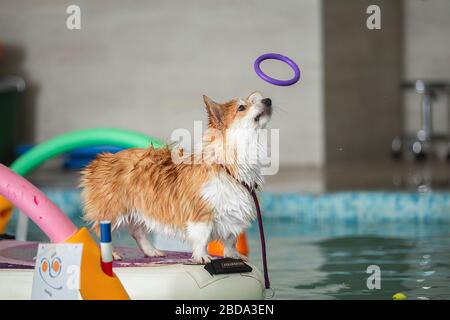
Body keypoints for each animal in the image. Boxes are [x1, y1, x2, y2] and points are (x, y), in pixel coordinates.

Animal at [79, 92, 272, 262]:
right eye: (241, 107)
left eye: (256, 100)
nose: (268, 100)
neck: (227, 165)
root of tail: (101, 160)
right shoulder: (201, 214)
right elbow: (201, 238)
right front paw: (201, 256)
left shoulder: (234, 215)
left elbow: (231, 240)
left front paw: (234, 255)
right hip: (112, 210)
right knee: (103, 231)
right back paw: (110, 254)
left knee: (137, 231)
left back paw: (152, 251)